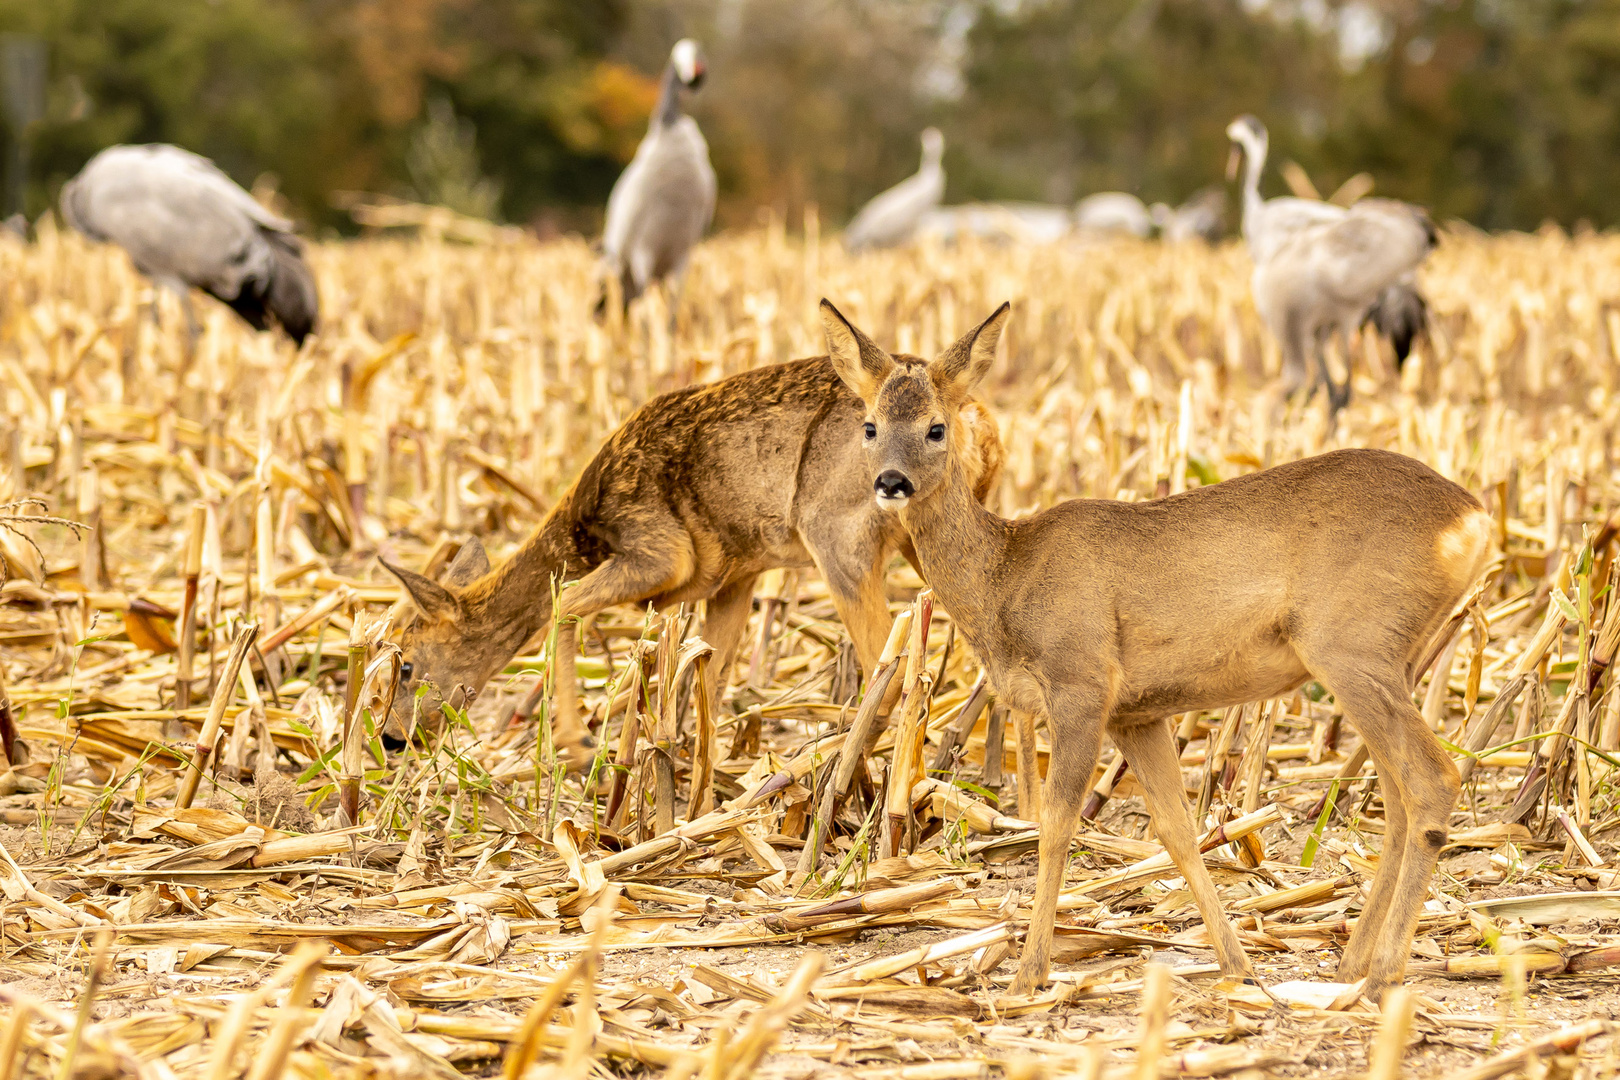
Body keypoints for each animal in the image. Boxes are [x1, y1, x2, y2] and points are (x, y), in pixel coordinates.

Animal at [385, 352, 1004, 761]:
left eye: (407, 663)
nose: (391, 738)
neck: (584, 529)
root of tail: (979, 421)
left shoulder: (661, 551)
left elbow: (564, 605)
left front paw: (580, 741)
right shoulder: (737, 574)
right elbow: (712, 666)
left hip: (839, 537)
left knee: (887, 660)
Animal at [829, 299, 1496, 1003]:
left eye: (935, 428)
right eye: (870, 426)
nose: (891, 482)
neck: (1006, 577)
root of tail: (1474, 517)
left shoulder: (1081, 683)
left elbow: (1057, 826)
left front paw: (1028, 974)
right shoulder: (1138, 713)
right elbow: (1176, 832)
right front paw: (1237, 964)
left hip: (1351, 647)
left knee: (1432, 779)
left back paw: (1384, 972)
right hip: (1389, 659)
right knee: (1396, 798)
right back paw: (1352, 966)